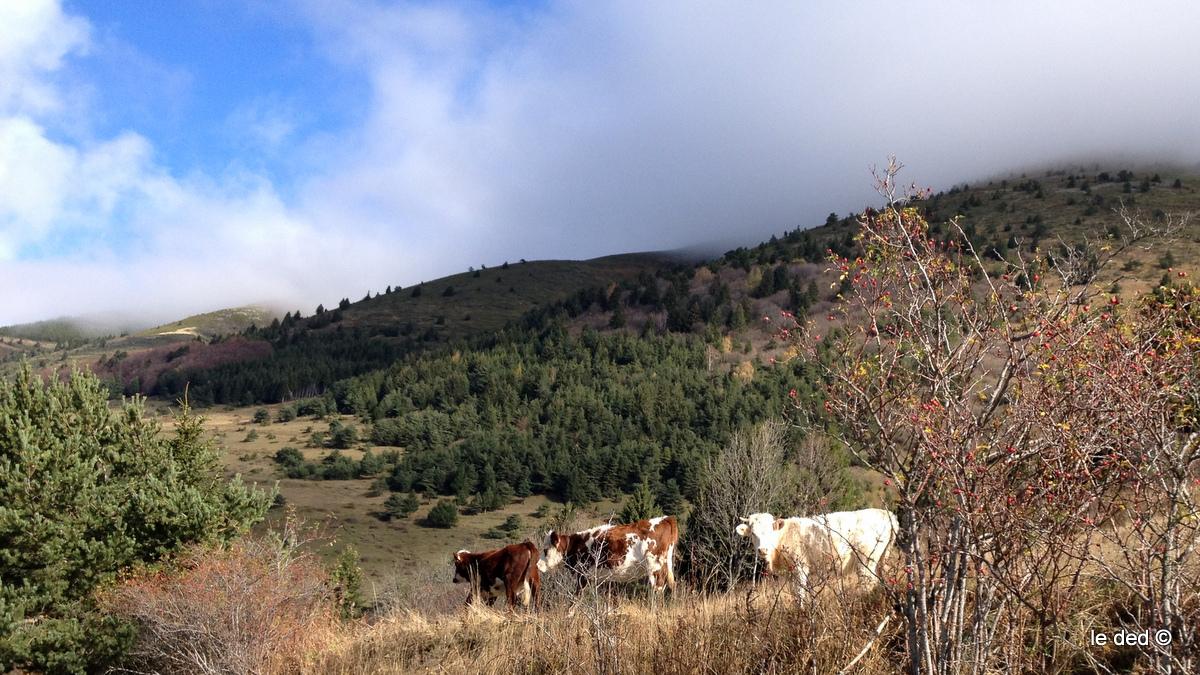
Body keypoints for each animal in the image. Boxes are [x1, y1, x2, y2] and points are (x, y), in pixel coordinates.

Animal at [535, 514, 676, 588]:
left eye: (545, 550)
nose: (537, 565)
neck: (577, 544)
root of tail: (665, 518)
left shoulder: (582, 575)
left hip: (654, 567)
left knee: (658, 588)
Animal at [734, 506, 897, 595]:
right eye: (753, 533)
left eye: (769, 531)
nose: (762, 550)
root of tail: (886, 513)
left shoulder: (800, 568)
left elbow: (799, 594)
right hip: (881, 560)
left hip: (866, 561)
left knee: (868, 583)